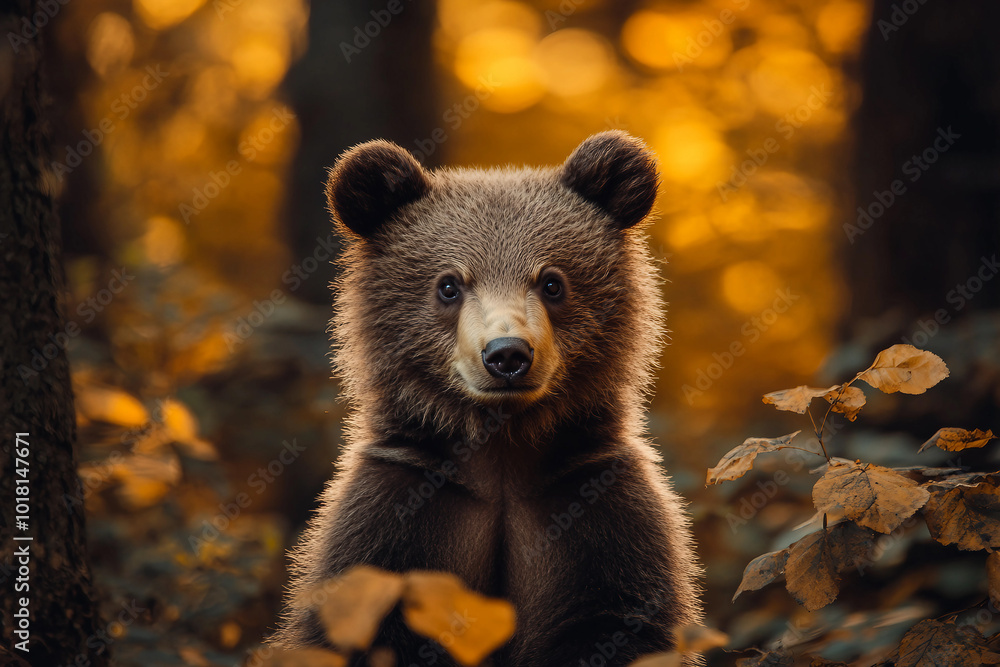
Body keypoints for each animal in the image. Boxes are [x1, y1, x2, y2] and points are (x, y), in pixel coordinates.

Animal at [271, 131, 702, 666]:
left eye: (552, 281)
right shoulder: (400, 515)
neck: (501, 448)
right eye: (449, 284)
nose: (507, 354)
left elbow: (617, 621)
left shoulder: (594, 506)